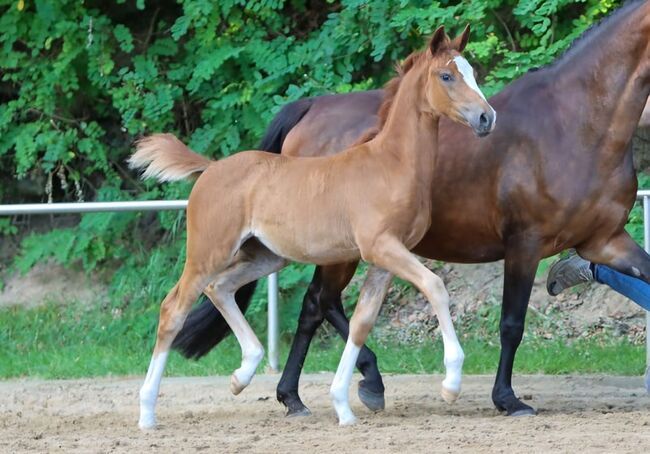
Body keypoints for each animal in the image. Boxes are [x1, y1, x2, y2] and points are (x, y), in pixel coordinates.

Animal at [128, 25, 492, 430]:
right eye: (446, 76)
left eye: (473, 72)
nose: (486, 117)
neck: (391, 165)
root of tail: (211, 167)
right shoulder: (381, 247)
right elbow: (435, 287)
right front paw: (451, 383)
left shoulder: (386, 259)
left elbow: (362, 321)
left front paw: (344, 406)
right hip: (209, 251)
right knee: (173, 309)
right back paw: (146, 411)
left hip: (267, 256)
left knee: (220, 288)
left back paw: (243, 374)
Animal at [171, 0, 648, 418]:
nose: (485, 119)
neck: (576, 123)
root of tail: (311, 108)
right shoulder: (524, 244)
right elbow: (511, 323)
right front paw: (507, 400)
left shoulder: (605, 240)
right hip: (338, 251)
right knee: (320, 302)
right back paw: (359, 383)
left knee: (316, 305)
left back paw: (299, 395)